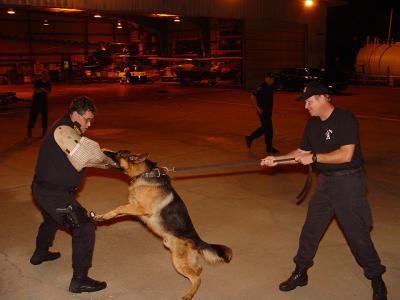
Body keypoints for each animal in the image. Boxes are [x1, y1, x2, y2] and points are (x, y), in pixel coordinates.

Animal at [96, 151, 231, 298]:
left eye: (118, 154)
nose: (104, 150)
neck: (144, 173)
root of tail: (197, 239)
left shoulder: (142, 209)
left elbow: (119, 207)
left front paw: (104, 216)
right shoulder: (134, 208)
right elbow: (118, 211)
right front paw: (101, 216)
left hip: (178, 261)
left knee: (197, 278)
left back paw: (189, 294)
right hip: (185, 259)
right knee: (199, 269)